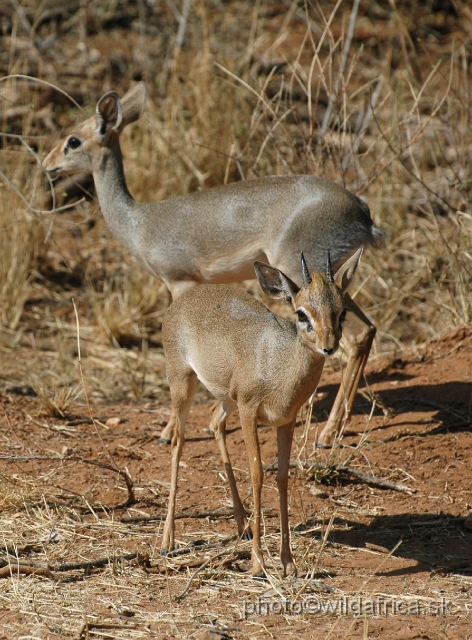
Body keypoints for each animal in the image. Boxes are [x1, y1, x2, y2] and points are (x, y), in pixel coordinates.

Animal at [42, 84, 386, 444]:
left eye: (73, 140)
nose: (47, 165)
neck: (140, 222)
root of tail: (362, 213)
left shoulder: (180, 282)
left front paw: (169, 431)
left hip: (302, 270)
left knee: (355, 335)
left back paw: (328, 432)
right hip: (331, 280)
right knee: (367, 330)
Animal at [160, 249, 364, 576]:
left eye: (342, 310)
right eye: (301, 313)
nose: (329, 346)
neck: (277, 365)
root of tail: (188, 297)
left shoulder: (286, 421)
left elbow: (281, 477)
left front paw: (288, 562)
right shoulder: (248, 412)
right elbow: (256, 474)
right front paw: (257, 562)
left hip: (226, 399)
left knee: (214, 421)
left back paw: (242, 525)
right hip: (182, 384)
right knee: (178, 442)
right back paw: (167, 541)